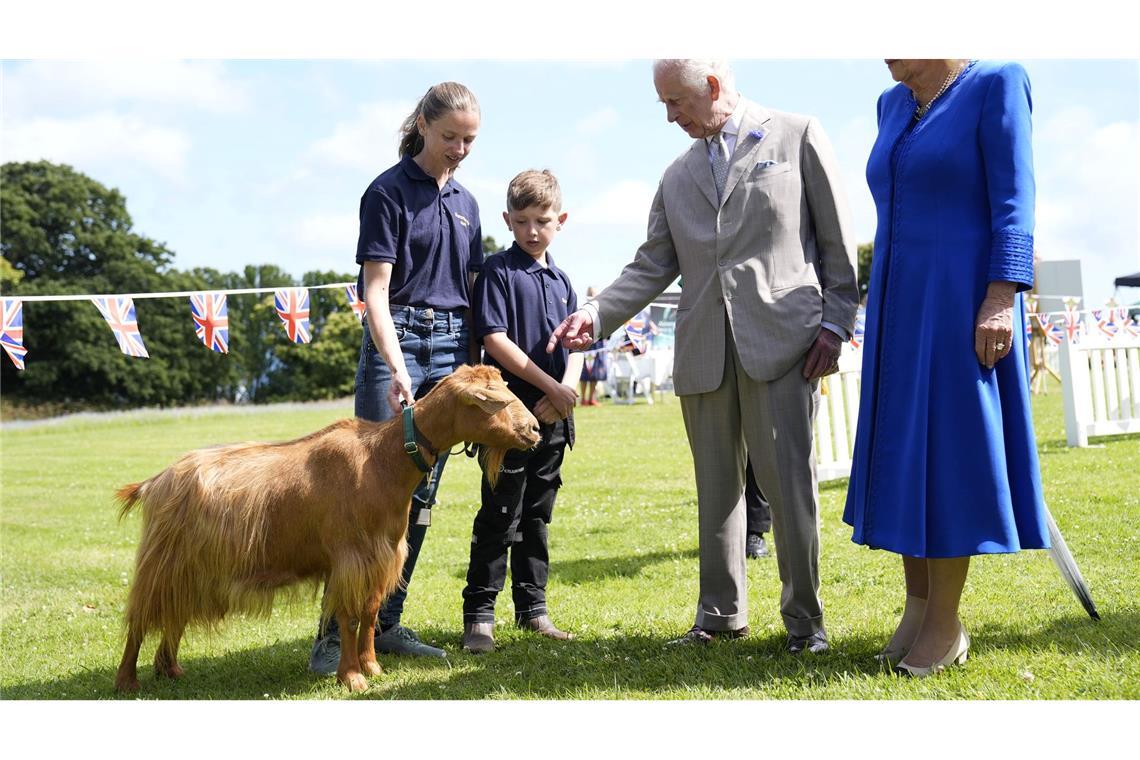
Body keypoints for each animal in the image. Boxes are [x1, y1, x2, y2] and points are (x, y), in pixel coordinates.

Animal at [113, 364, 540, 692]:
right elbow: (347, 617)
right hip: (162, 562)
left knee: (174, 613)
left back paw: (170, 669)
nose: (535, 429)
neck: (382, 460)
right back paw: (127, 682)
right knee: (141, 618)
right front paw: (352, 678)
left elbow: (369, 613)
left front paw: (372, 667)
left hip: (190, 568)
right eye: (494, 401)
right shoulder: (350, 559)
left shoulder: (381, 557)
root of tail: (155, 481)